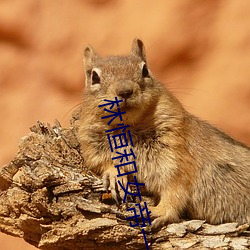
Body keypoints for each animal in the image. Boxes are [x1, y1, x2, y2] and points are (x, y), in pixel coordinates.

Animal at [77, 38, 249, 229]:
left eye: (145, 70)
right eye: (94, 77)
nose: (125, 91)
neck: (128, 127)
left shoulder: (175, 155)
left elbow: (175, 189)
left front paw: (157, 211)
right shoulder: (92, 144)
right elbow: (102, 162)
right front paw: (114, 175)